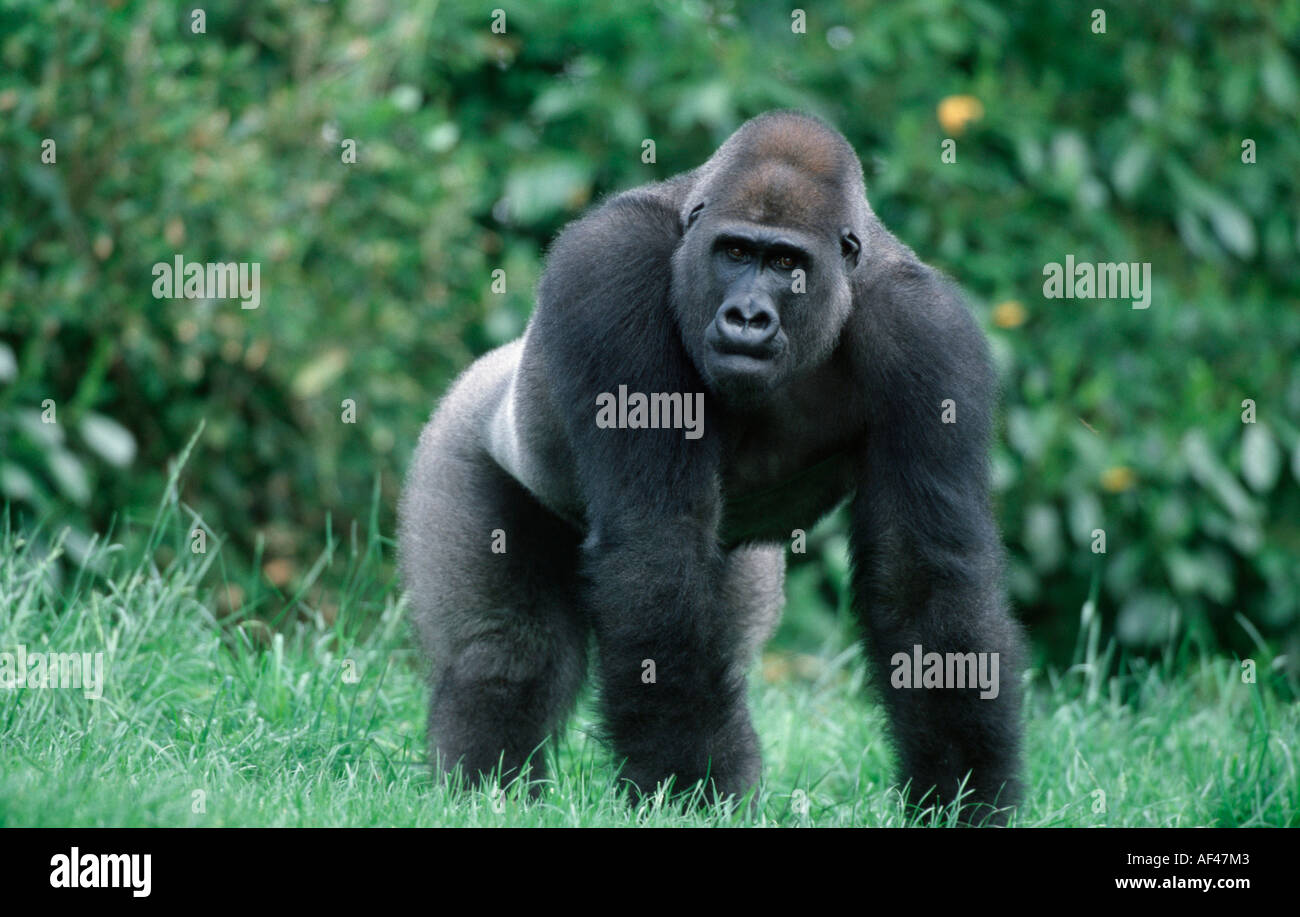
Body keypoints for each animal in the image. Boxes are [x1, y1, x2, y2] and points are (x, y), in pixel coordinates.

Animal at [398, 110, 1025, 823]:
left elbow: (924, 575)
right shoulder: (611, 267)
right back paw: (486, 792)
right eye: (734, 253)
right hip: (460, 436)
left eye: (785, 263)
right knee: (505, 652)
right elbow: (656, 542)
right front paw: (683, 789)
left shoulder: (930, 336)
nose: (747, 316)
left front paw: (963, 797)